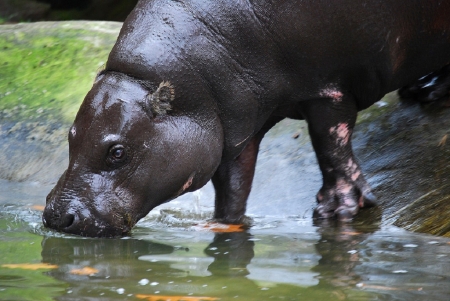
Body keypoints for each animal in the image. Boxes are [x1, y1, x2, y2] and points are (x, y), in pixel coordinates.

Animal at [43, 0, 450, 236]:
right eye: (70, 136)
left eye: (117, 152)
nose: (57, 217)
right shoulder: (232, 128)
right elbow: (234, 185)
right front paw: (225, 224)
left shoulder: (327, 90)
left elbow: (331, 147)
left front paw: (337, 211)